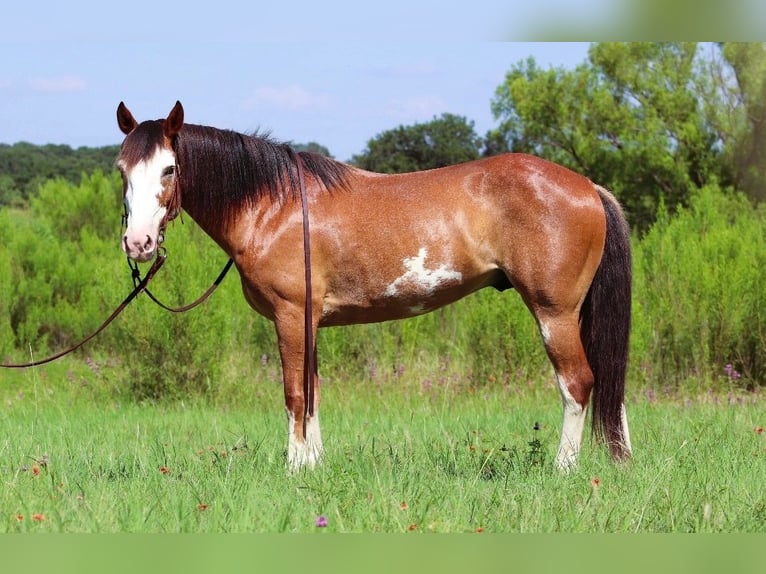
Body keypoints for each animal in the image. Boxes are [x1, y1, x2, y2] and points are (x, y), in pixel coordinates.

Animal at [117, 101, 632, 474]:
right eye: (122, 169)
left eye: (168, 169)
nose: (139, 243)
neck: (275, 205)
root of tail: (588, 186)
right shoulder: (310, 321)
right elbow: (314, 393)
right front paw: (315, 466)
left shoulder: (290, 315)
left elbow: (294, 394)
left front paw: (293, 469)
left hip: (554, 313)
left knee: (578, 383)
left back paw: (563, 469)